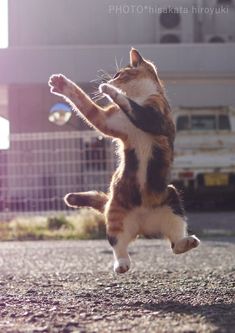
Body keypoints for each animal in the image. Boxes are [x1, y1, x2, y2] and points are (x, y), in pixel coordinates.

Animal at [48, 48, 200, 272]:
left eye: (119, 74)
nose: (111, 79)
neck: (140, 96)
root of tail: (145, 226)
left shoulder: (155, 118)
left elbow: (133, 107)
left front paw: (109, 89)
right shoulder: (107, 120)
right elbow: (84, 103)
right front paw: (61, 84)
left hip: (172, 199)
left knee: (175, 243)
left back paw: (187, 241)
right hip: (115, 213)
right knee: (118, 244)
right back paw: (121, 264)